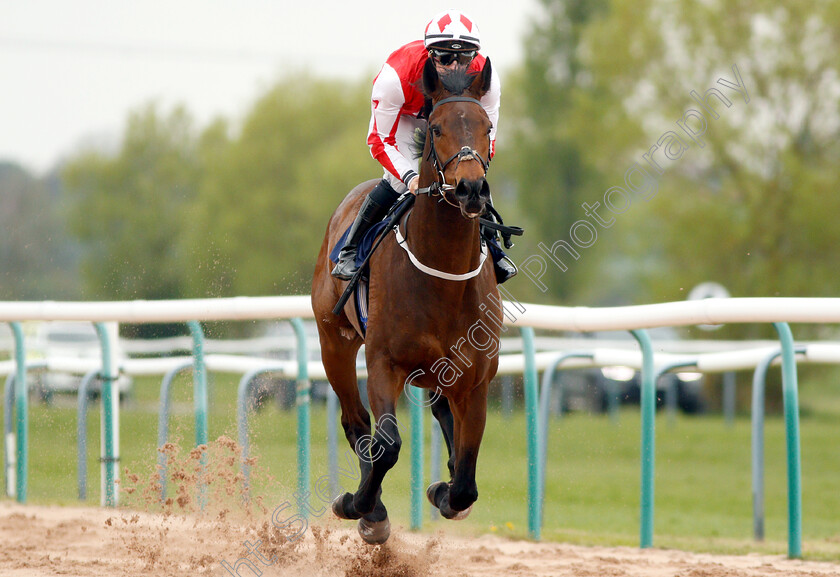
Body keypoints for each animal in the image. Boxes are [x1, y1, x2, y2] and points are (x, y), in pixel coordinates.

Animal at [314, 56, 498, 544]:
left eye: (487, 127)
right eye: (435, 127)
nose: (471, 189)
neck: (443, 275)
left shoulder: (475, 380)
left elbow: (467, 480)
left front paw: (445, 491)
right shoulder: (384, 362)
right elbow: (387, 444)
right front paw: (361, 507)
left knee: (441, 413)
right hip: (333, 341)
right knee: (355, 423)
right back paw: (369, 507)